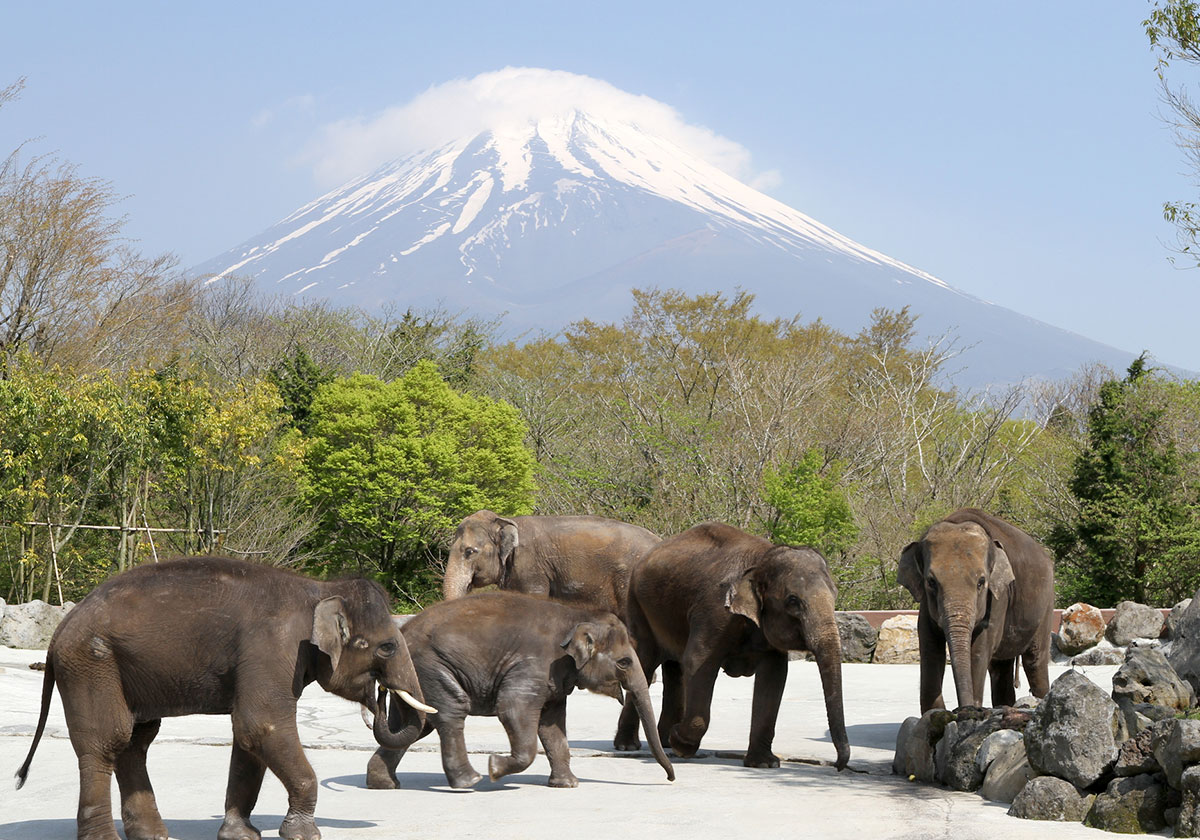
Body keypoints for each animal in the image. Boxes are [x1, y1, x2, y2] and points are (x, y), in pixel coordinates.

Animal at [14, 554, 436, 835]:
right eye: (387, 647)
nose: (379, 698)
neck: (320, 590)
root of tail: (62, 626)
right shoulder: (273, 648)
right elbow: (261, 726)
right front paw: (303, 834)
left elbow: (247, 738)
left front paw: (240, 835)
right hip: (91, 663)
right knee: (107, 741)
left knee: (137, 740)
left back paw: (156, 836)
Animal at [364, 590, 676, 787]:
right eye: (624, 662)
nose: (671, 779)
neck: (576, 614)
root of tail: (401, 632)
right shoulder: (533, 666)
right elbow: (513, 709)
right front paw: (494, 768)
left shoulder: (554, 678)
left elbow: (552, 726)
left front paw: (568, 785)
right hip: (431, 667)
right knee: (451, 712)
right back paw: (470, 780)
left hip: (412, 677)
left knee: (413, 724)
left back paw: (383, 784)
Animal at [614, 520, 849, 772]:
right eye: (793, 601)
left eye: (835, 595)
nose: (837, 765)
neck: (762, 559)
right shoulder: (715, 612)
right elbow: (698, 661)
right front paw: (681, 744)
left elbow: (774, 676)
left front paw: (764, 764)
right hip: (637, 605)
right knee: (645, 663)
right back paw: (628, 746)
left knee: (673, 669)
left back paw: (663, 741)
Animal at [897, 508, 1056, 710]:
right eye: (931, 582)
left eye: (981, 582)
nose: (963, 709)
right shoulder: (925, 603)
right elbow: (929, 644)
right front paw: (934, 713)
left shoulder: (998, 597)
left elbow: (980, 647)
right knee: (1000, 667)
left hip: (1046, 605)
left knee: (1035, 661)